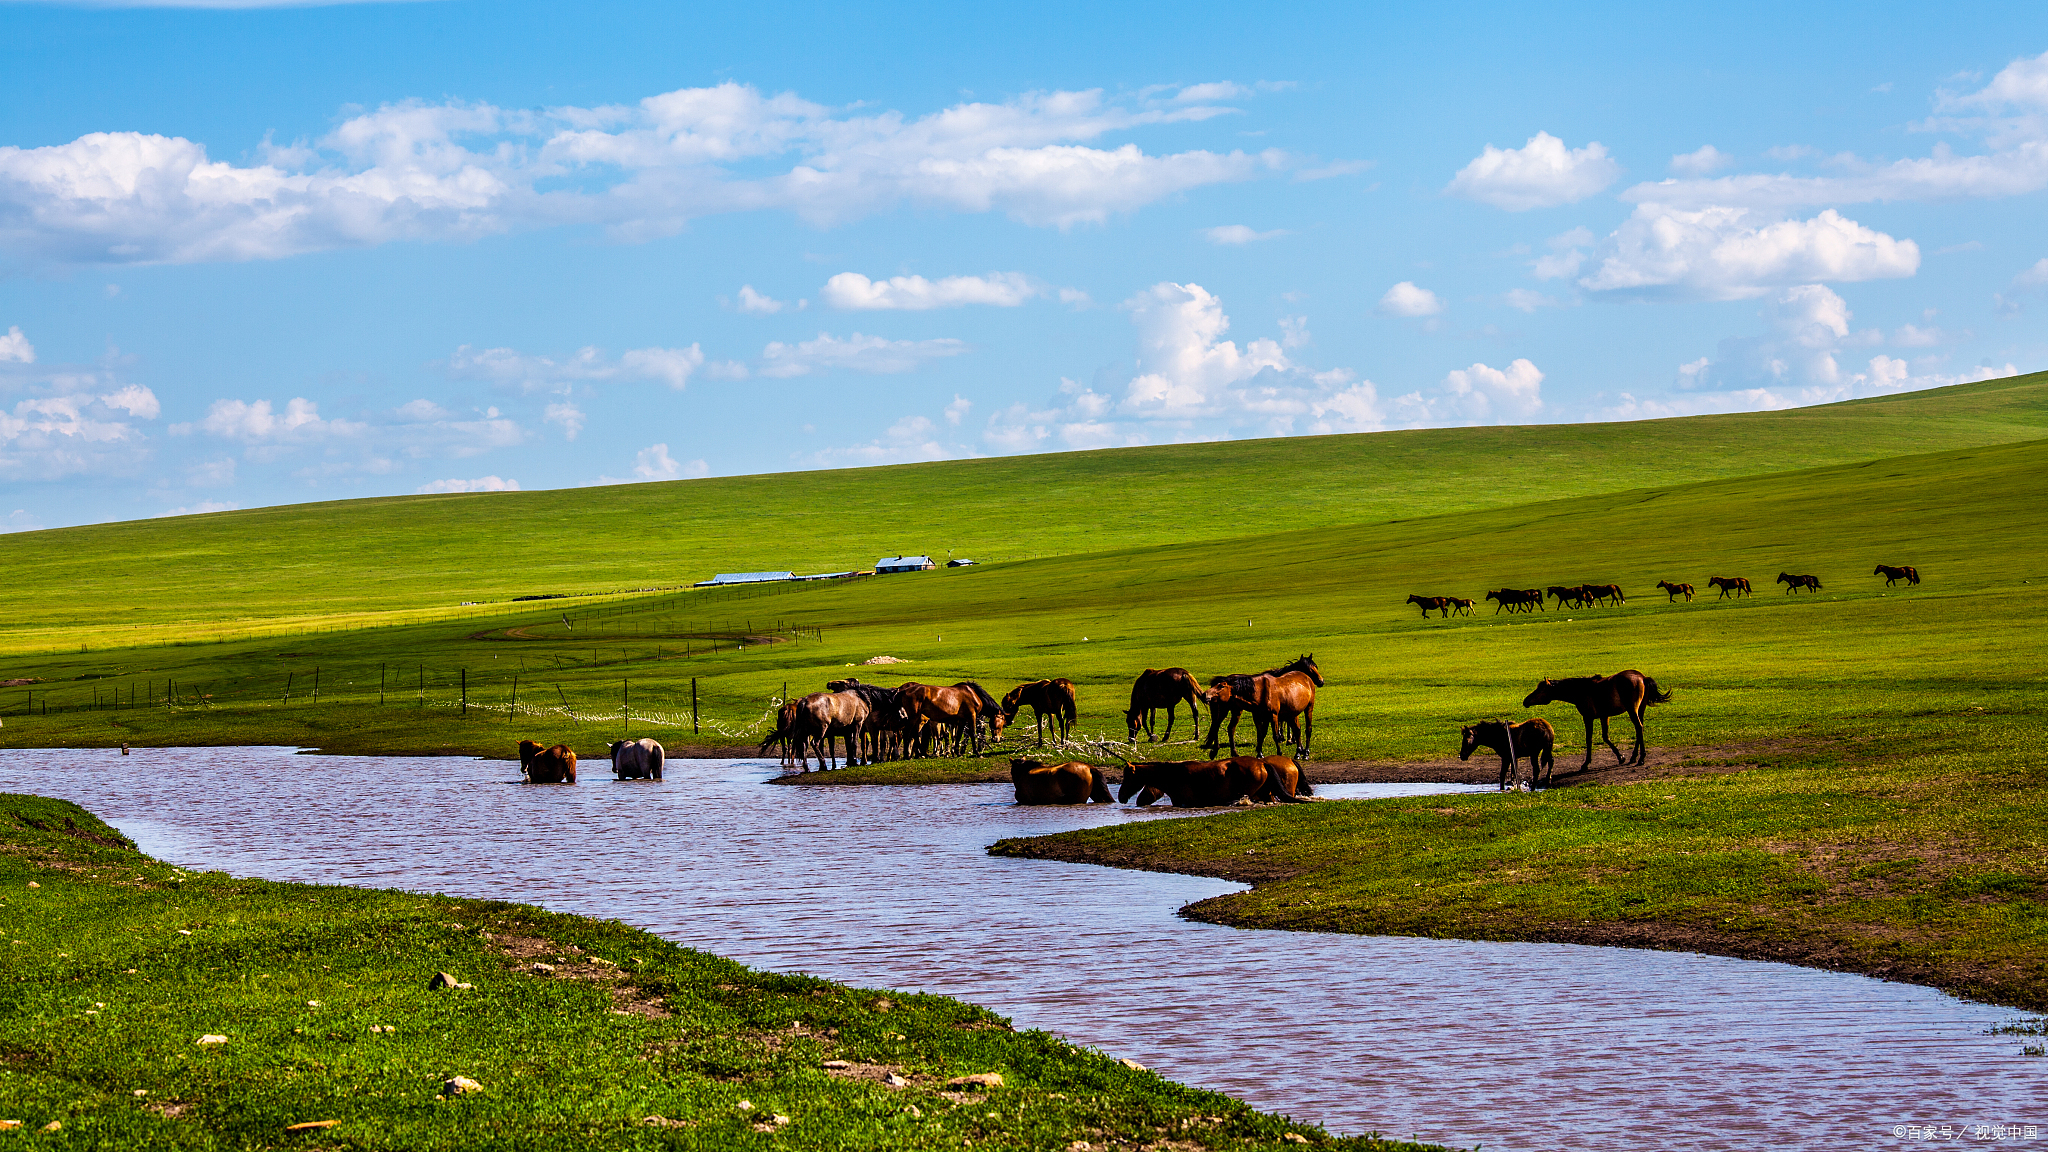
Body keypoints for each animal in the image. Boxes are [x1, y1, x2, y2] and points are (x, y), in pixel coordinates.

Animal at [1523, 668, 1679, 766]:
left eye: (1540, 689)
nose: (1525, 701)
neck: (1581, 690)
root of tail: (1642, 677)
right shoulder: (1604, 716)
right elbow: (1605, 737)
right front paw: (1621, 757)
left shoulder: (1588, 717)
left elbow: (1589, 739)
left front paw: (1586, 763)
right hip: (1641, 709)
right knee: (1639, 729)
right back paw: (1634, 757)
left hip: (1632, 709)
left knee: (1639, 727)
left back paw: (1641, 758)